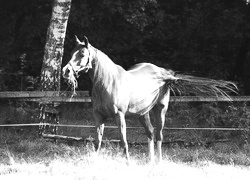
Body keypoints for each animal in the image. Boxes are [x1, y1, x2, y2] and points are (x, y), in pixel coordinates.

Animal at [61, 35, 237, 162]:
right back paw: (149, 162)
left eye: (82, 54)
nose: (66, 71)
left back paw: (158, 163)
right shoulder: (98, 117)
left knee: (159, 135)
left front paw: (128, 163)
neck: (108, 82)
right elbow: (97, 141)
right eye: (71, 53)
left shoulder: (119, 116)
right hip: (143, 113)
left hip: (160, 110)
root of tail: (165, 74)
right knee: (151, 133)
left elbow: (123, 141)